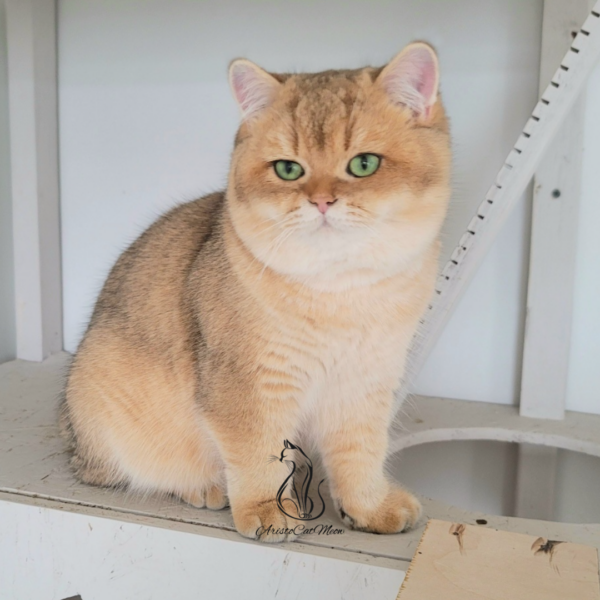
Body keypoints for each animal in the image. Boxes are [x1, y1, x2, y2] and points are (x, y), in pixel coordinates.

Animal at [61, 39, 452, 540]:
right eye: (288, 169)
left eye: (364, 164)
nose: (321, 201)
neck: (341, 291)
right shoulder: (247, 385)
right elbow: (257, 452)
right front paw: (270, 509)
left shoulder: (365, 384)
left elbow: (361, 452)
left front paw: (369, 506)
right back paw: (204, 486)